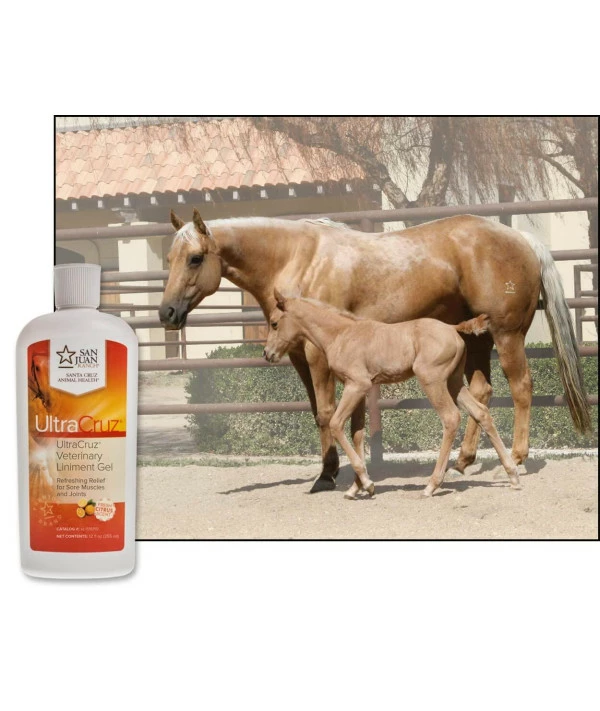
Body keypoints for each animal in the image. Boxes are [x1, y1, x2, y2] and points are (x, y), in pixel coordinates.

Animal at [264, 292, 521, 497]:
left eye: (274, 323)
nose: (267, 354)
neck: (341, 334)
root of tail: (452, 328)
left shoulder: (356, 385)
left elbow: (336, 424)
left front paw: (367, 483)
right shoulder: (359, 388)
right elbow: (357, 433)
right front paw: (356, 487)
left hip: (433, 381)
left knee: (451, 417)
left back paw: (432, 485)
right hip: (454, 382)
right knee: (481, 412)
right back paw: (513, 476)